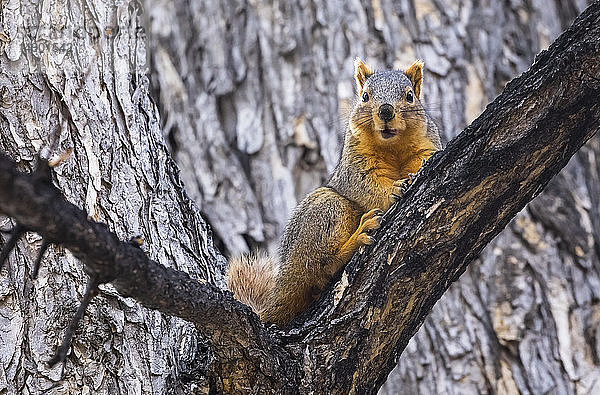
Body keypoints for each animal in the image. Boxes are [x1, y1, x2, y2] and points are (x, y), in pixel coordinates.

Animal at [227, 58, 442, 328]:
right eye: (365, 96)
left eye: (410, 96)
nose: (385, 111)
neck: (392, 148)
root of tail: (283, 281)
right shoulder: (355, 163)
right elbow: (366, 186)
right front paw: (394, 189)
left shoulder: (427, 147)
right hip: (327, 208)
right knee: (321, 268)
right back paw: (358, 237)